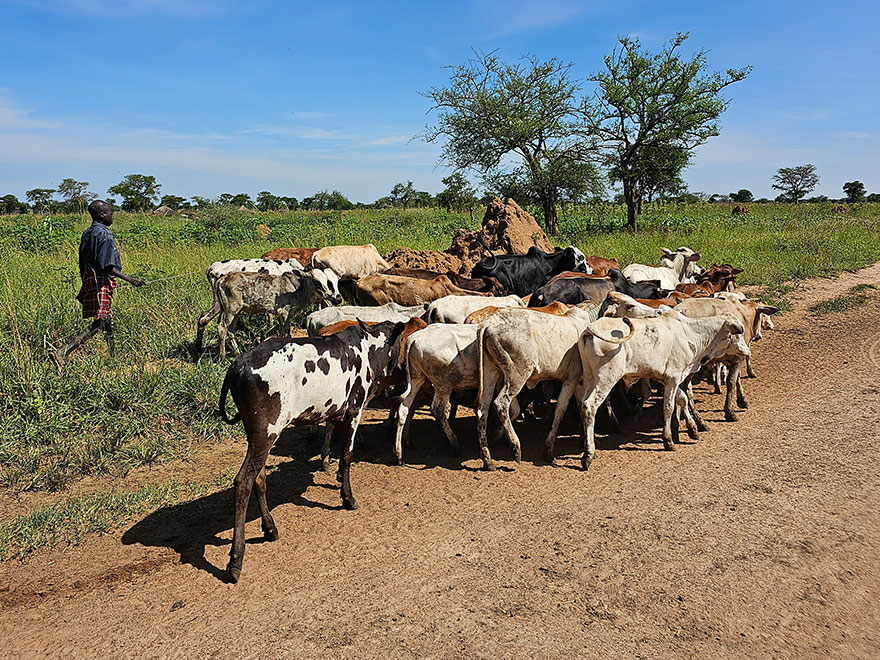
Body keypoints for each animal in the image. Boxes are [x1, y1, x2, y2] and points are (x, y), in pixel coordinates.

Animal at [218, 320, 422, 584]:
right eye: (400, 342)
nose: (397, 366)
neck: (366, 346)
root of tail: (239, 365)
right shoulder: (354, 411)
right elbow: (347, 456)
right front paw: (347, 497)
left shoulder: (335, 412)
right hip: (266, 433)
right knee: (243, 481)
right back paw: (236, 558)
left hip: (257, 436)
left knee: (258, 478)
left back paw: (270, 528)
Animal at [474, 304, 604, 470]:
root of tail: (488, 323)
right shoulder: (571, 380)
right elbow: (560, 411)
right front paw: (549, 451)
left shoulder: (580, 383)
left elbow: (582, 407)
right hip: (517, 375)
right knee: (501, 404)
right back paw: (515, 449)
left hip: (490, 372)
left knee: (482, 410)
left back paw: (488, 459)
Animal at [576, 310, 744, 470]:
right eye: (734, 335)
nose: (745, 352)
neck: (689, 332)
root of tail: (590, 330)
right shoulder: (674, 378)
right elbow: (669, 408)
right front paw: (668, 440)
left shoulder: (668, 379)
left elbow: (683, 399)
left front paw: (693, 430)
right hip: (606, 378)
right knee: (590, 406)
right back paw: (588, 455)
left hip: (589, 377)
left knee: (582, 404)